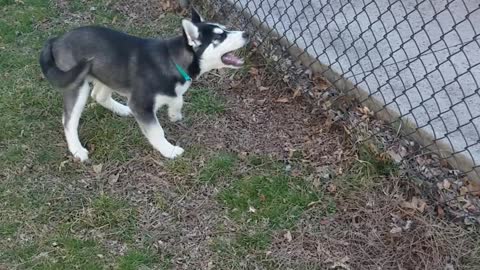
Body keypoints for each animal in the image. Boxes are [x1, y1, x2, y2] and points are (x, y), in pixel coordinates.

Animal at [39, 8, 249, 161]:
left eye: (225, 29)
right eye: (219, 37)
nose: (247, 33)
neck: (173, 60)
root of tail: (56, 39)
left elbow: (177, 98)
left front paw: (175, 113)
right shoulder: (141, 104)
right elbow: (157, 131)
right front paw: (169, 150)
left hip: (109, 71)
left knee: (99, 95)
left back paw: (122, 109)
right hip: (77, 85)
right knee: (69, 120)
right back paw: (77, 150)